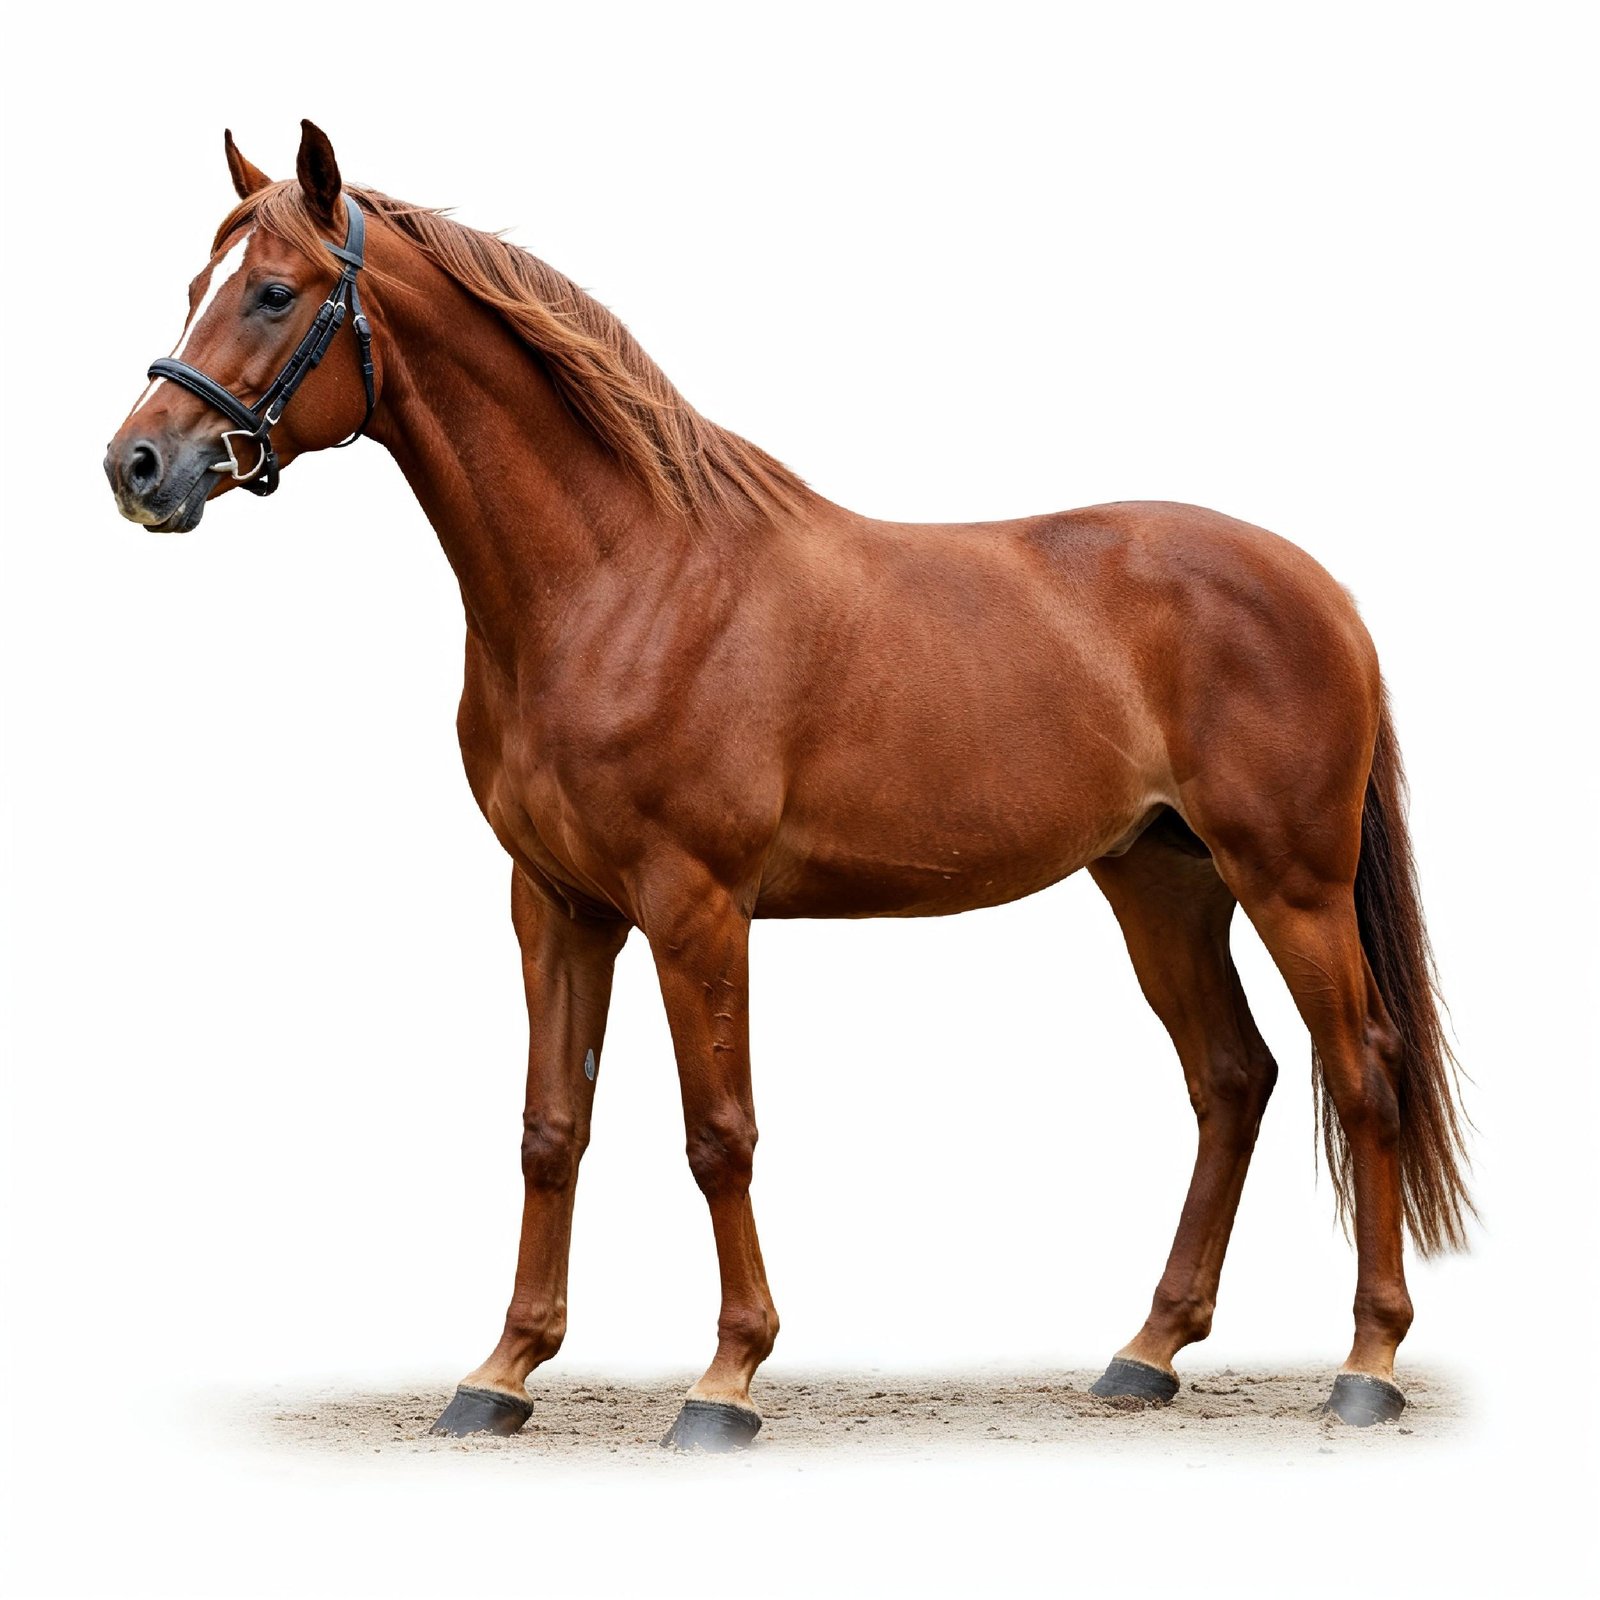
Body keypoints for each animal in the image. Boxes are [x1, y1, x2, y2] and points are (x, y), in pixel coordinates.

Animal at [105, 121, 1471, 1451]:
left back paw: (1365, 1366)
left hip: (1289, 883)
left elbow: (720, 1135)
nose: (139, 465)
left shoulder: (694, 906)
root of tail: (1321, 590)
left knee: (1361, 1071)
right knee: (1232, 1080)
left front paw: (726, 1379)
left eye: (274, 292)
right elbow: (551, 1130)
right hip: (1159, 880)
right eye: (194, 285)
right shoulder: (554, 904)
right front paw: (501, 1372)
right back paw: (1145, 1353)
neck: (622, 580)